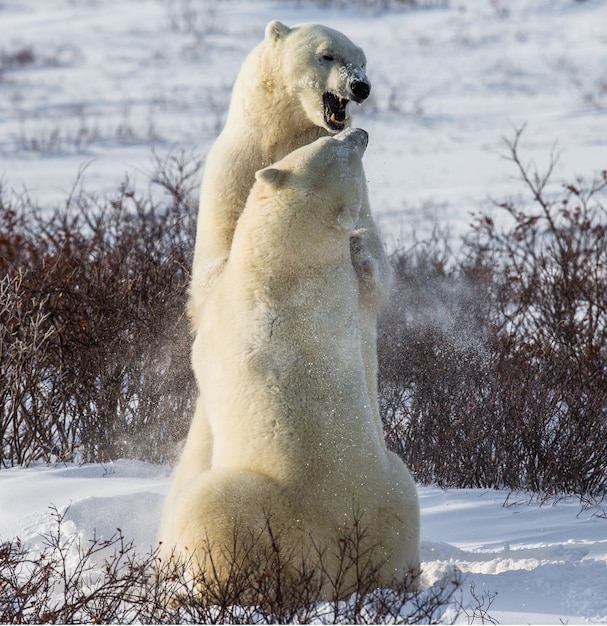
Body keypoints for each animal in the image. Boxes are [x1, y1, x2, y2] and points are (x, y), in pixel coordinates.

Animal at [159, 128, 420, 600]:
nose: (359, 132)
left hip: (258, 515)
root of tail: (339, 556)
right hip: (395, 492)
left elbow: (201, 358)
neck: (295, 263)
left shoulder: (229, 313)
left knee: (211, 513)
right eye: (332, 146)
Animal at [188, 18, 392, 468]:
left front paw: (358, 248)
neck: (281, 137)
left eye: (363, 60)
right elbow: (212, 270)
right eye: (327, 55)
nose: (361, 86)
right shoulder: (232, 170)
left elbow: (377, 274)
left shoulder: (361, 189)